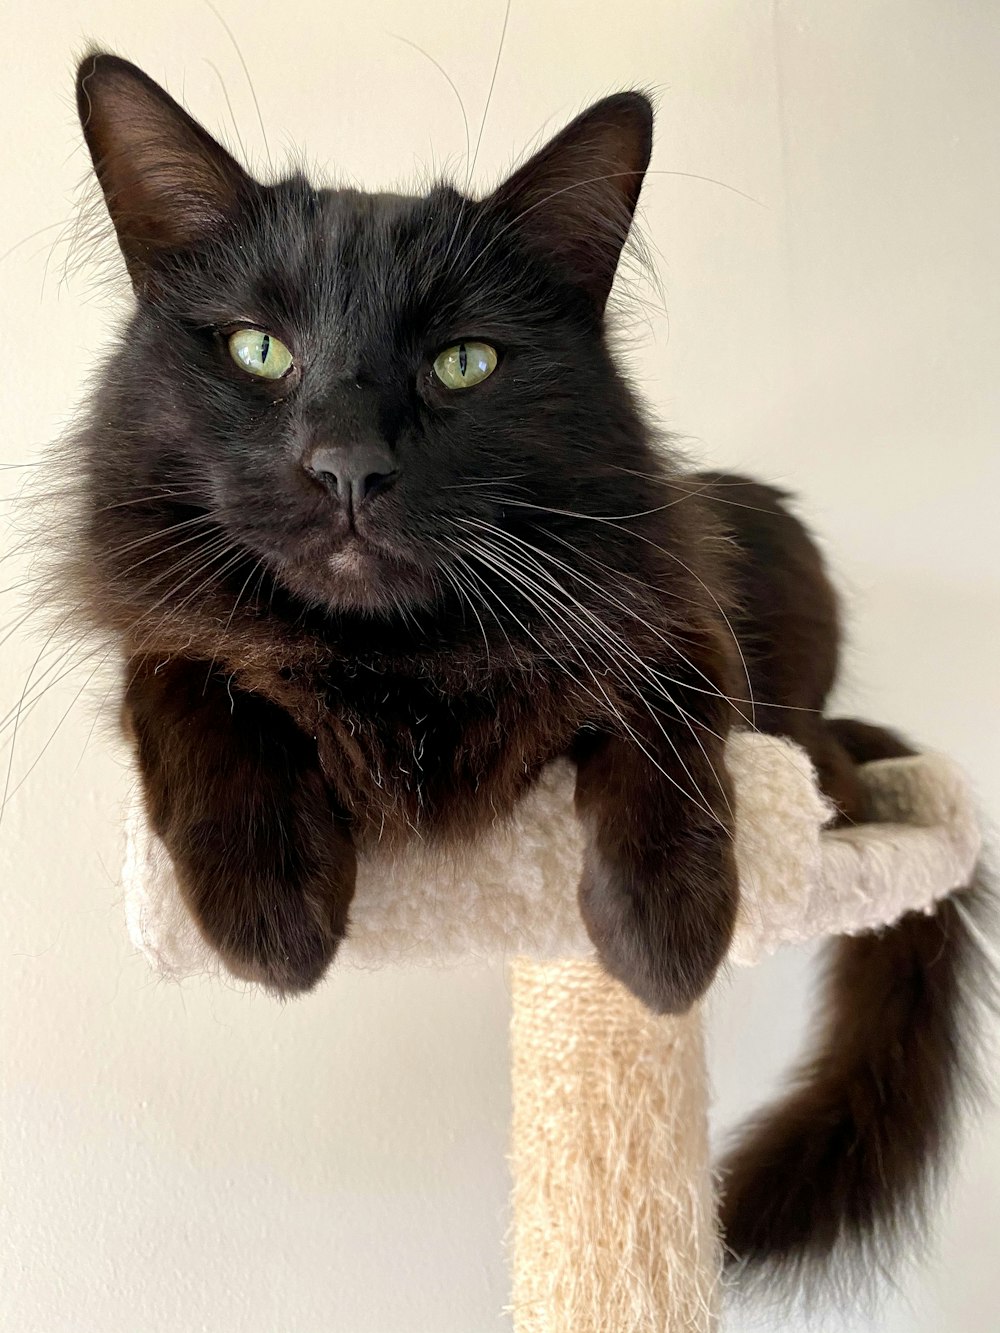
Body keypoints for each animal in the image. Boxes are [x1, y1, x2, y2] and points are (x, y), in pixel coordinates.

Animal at [64, 57, 997, 1295]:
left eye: (464, 363)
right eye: (258, 350)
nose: (348, 467)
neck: (401, 664)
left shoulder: (672, 607)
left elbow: (665, 718)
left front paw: (666, 932)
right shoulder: (167, 627)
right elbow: (186, 676)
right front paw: (267, 896)